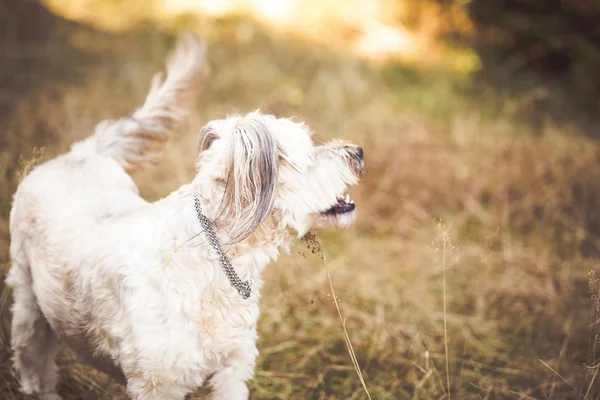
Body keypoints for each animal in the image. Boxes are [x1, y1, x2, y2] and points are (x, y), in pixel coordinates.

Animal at [7, 35, 364, 400]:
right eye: (312, 153)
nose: (358, 152)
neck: (216, 257)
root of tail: (81, 153)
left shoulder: (232, 367)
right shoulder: (155, 383)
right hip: (28, 304)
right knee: (33, 361)